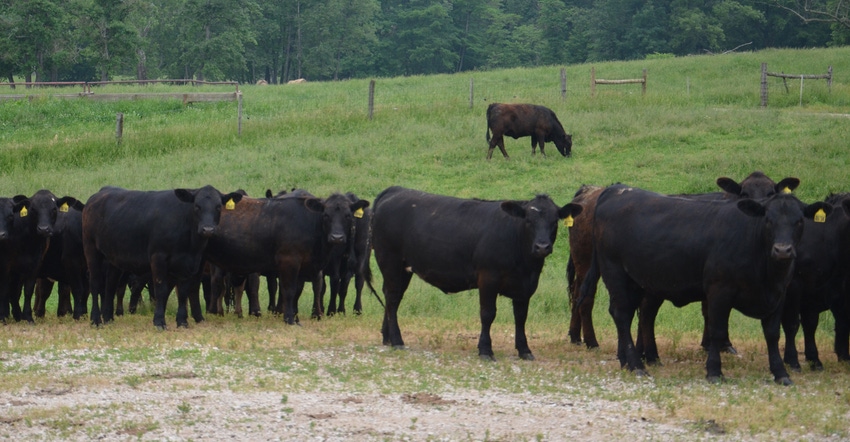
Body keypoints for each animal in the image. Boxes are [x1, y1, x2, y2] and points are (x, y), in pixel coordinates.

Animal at [81, 185, 242, 326]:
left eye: (218, 206)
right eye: (197, 206)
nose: (207, 229)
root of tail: (99, 194)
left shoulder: (189, 263)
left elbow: (183, 291)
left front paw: (182, 321)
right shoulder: (158, 257)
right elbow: (161, 290)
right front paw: (159, 321)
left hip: (114, 258)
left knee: (110, 285)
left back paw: (108, 318)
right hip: (91, 250)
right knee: (95, 283)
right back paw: (96, 320)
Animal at [205, 192, 368, 322]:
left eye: (348, 216)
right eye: (326, 215)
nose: (337, 237)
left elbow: (299, 291)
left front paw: (296, 315)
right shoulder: (289, 261)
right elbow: (289, 290)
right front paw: (289, 318)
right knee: (217, 284)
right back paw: (214, 312)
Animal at [372, 185, 584, 360]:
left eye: (554, 221)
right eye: (528, 221)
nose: (542, 247)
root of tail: (396, 190)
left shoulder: (525, 286)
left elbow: (521, 317)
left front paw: (524, 350)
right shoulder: (488, 278)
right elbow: (488, 314)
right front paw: (485, 350)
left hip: (403, 269)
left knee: (393, 298)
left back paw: (388, 337)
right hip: (390, 261)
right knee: (392, 298)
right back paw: (397, 340)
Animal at [584, 183, 828, 384]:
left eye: (799, 221)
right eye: (768, 220)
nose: (782, 250)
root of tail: (616, 189)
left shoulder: (778, 294)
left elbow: (772, 333)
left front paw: (780, 373)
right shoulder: (719, 291)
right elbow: (717, 331)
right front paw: (714, 372)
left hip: (641, 281)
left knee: (637, 315)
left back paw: (632, 360)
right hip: (615, 273)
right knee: (622, 315)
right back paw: (636, 365)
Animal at [780, 193, 848, 370]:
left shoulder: (818, 291)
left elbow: (812, 323)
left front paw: (816, 360)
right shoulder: (795, 285)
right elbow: (792, 323)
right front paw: (792, 360)